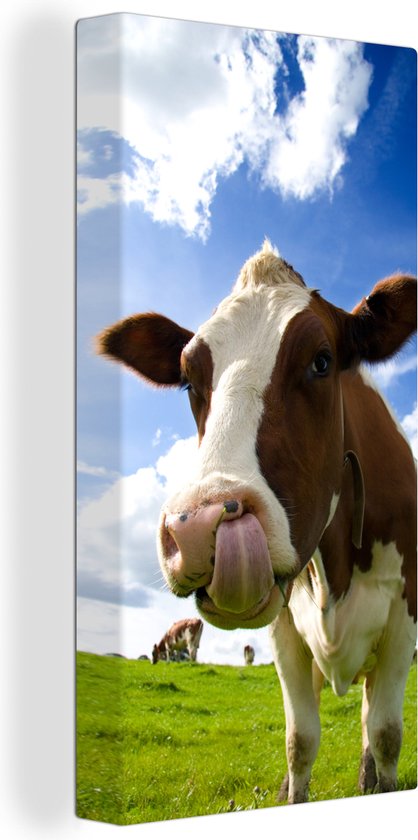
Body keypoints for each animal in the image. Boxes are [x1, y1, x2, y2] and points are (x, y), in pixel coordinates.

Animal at [97, 240, 416, 803]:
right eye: (188, 380)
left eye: (322, 361)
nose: (197, 527)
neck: (336, 569)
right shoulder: (285, 629)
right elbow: (300, 740)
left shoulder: (404, 615)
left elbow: (385, 735)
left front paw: (381, 786)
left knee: (367, 719)